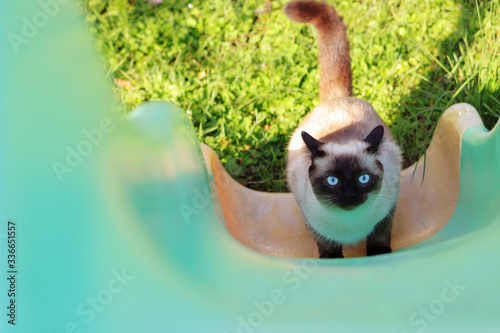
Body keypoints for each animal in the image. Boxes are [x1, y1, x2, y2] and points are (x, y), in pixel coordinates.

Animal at [286, 0, 402, 256]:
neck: (351, 226)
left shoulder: (387, 215)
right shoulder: (317, 231)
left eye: (363, 178)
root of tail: (337, 98)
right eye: (333, 181)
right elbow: (330, 253)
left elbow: (379, 243)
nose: (349, 195)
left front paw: (378, 258)